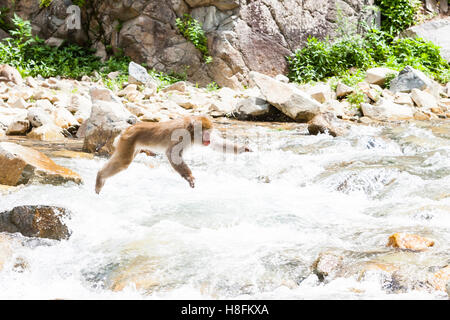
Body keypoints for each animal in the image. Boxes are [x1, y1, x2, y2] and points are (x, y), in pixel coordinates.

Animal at [94, 116, 251, 194]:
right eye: (206, 132)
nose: (208, 137)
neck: (191, 131)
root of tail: (127, 129)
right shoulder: (181, 136)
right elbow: (172, 154)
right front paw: (189, 177)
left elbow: (217, 144)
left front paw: (242, 148)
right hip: (128, 141)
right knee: (123, 162)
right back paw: (100, 176)